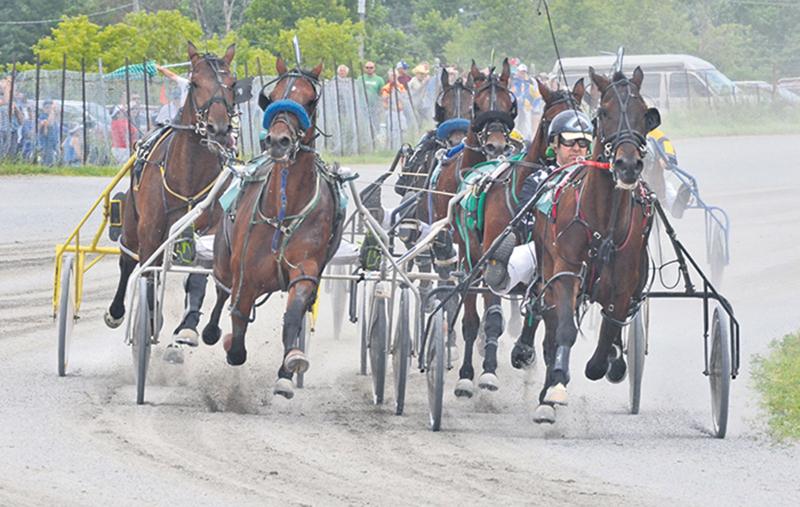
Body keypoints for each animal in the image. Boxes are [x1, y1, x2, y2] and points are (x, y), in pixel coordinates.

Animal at [105, 43, 237, 336]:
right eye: (195, 83)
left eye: (233, 84)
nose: (219, 129)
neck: (188, 176)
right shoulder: (150, 230)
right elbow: (146, 270)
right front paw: (151, 320)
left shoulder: (210, 228)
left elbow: (198, 279)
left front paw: (188, 328)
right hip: (131, 220)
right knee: (128, 260)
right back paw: (117, 311)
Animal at [202, 58, 343, 400]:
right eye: (274, 95)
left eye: (310, 100)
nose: (279, 141)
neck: (285, 207)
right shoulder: (246, 272)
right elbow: (238, 324)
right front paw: (229, 342)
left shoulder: (305, 268)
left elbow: (293, 316)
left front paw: (289, 367)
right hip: (224, 257)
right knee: (221, 291)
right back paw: (211, 330)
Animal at [525, 67, 661, 423]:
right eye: (604, 112)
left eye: (645, 113)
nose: (628, 165)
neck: (603, 223)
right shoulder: (566, 273)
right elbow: (563, 330)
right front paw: (556, 387)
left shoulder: (624, 285)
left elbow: (610, 332)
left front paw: (606, 364)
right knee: (549, 323)